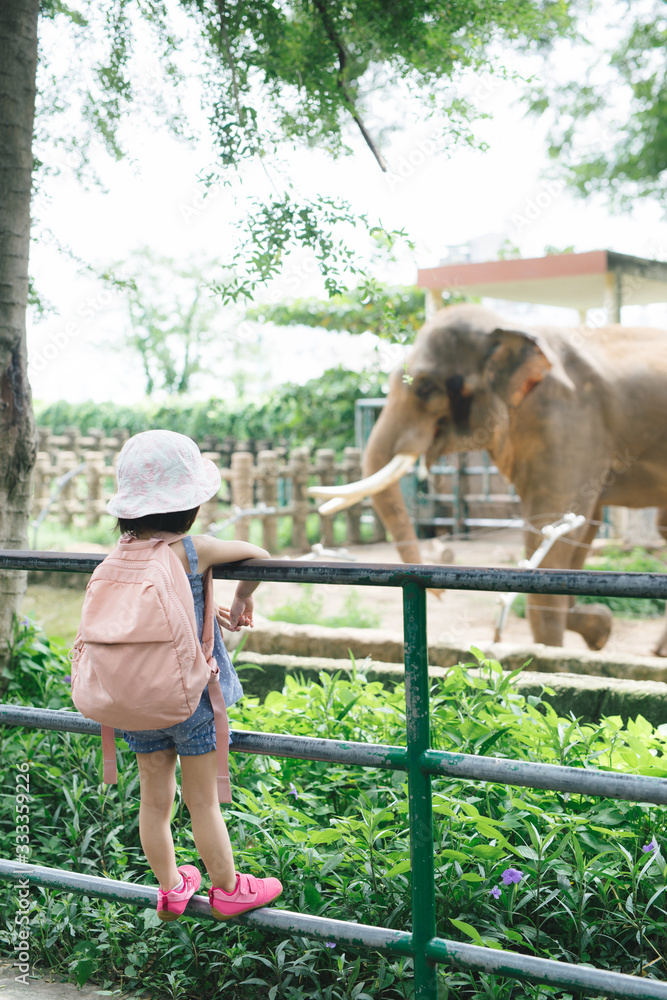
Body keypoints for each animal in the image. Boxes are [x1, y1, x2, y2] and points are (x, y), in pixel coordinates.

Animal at [312, 304, 667, 656]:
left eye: (426, 387)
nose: (439, 594)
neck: (508, 328)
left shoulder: (568, 420)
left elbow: (555, 525)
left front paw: (551, 654)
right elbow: (579, 528)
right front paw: (599, 628)